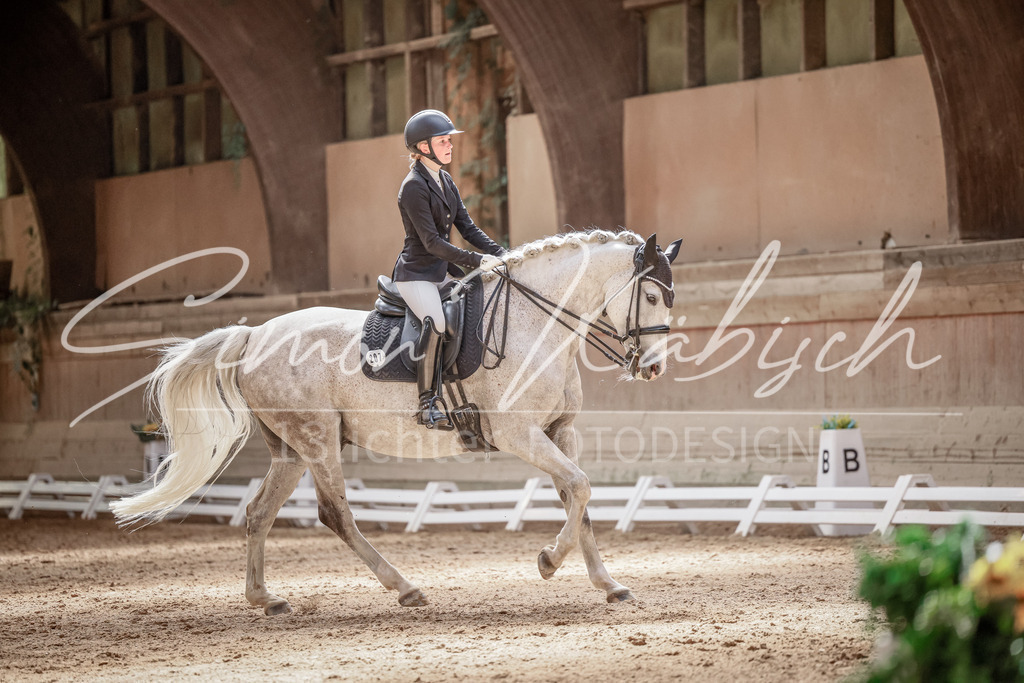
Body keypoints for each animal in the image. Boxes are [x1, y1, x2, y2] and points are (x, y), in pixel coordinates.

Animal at [111, 229, 682, 615]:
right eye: (652, 296)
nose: (654, 367)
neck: (534, 323)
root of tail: (253, 336)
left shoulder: (560, 431)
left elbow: (576, 498)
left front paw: (608, 584)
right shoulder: (519, 434)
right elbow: (580, 487)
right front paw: (547, 561)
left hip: (293, 450)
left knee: (258, 513)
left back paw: (266, 599)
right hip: (318, 441)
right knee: (335, 515)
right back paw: (405, 588)